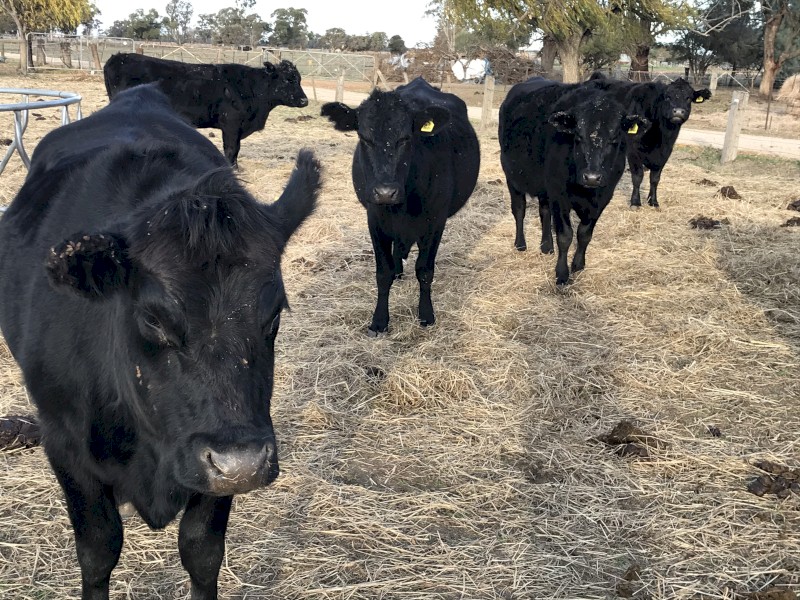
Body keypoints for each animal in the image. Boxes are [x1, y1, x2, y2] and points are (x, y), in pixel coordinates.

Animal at [0, 83, 320, 600]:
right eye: (152, 320)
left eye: (274, 313)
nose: (242, 464)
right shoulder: (64, 446)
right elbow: (98, 550)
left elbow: (202, 551)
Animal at [103, 53, 309, 167]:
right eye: (287, 80)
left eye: (299, 79)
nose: (304, 100)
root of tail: (118, 57)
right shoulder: (231, 124)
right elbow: (231, 150)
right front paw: (233, 169)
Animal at [320, 77, 480, 334]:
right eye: (364, 138)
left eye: (406, 138)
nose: (386, 192)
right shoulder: (375, 219)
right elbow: (382, 273)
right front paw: (379, 321)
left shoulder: (435, 222)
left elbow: (424, 270)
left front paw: (426, 314)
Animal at [499, 77, 650, 285]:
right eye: (578, 136)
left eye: (614, 138)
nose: (592, 177)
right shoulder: (559, 195)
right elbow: (565, 235)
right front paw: (562, 274)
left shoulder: (603, 197)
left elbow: (584, 234)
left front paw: (578, 265)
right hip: (512, 177)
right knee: (519, 210)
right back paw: (520, 244)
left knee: (544, 211)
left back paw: (546, 246)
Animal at [587, 73, 712, 207]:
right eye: (667, 97)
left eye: (688, 98)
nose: (678, 111)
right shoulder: (633, 151)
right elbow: (638, 176)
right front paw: (635, 202)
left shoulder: (665, 153)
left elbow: (655, 179)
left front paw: (653, 201)